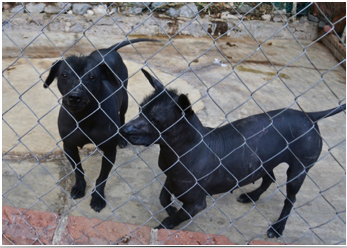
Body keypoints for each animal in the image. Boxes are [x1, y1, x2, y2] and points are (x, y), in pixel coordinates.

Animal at [44, 39, 155, 213]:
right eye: (64, 75)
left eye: (92, 77)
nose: (75, 96)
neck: (84, 116)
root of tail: (108, 49)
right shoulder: (69, 146)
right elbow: (78, 170)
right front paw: (79, 187)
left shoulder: (109, 151)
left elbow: (102, 178)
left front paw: (97, 197)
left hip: (124, 98)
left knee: (122, 116)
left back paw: (122, 139)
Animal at [121, 68, 346, 238]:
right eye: (140, 110)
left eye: (155, 120)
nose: (123, 130)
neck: (184, 148)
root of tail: (309, 116)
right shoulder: (172, 178)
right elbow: (163, 198)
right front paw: (172, 207)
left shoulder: (196, 204)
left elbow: (170, 220)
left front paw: (164, 224)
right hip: (263, 162)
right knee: (269, 178)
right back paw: (252, 196)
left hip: (298, 172)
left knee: (290, 199)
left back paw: (278, 227)